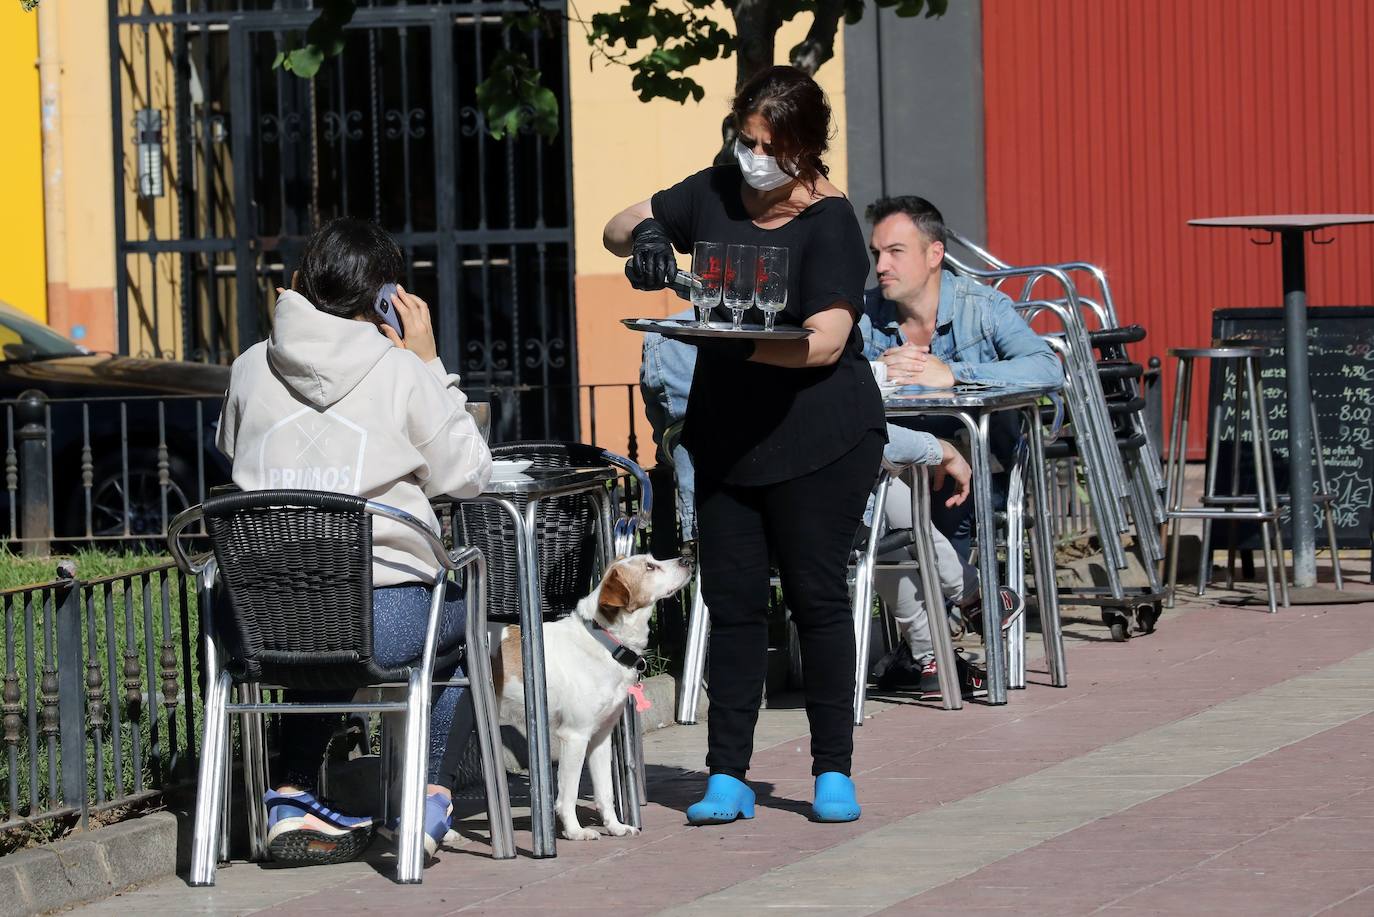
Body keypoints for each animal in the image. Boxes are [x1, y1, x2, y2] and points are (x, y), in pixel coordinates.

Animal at [491, 552, 692, 841]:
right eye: (649, 567)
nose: (687, 559)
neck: (605, 642)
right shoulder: (575, 736)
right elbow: (568, 794)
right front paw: (575, 831)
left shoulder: (600, 738)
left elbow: (605, 791)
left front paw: (615, 826)